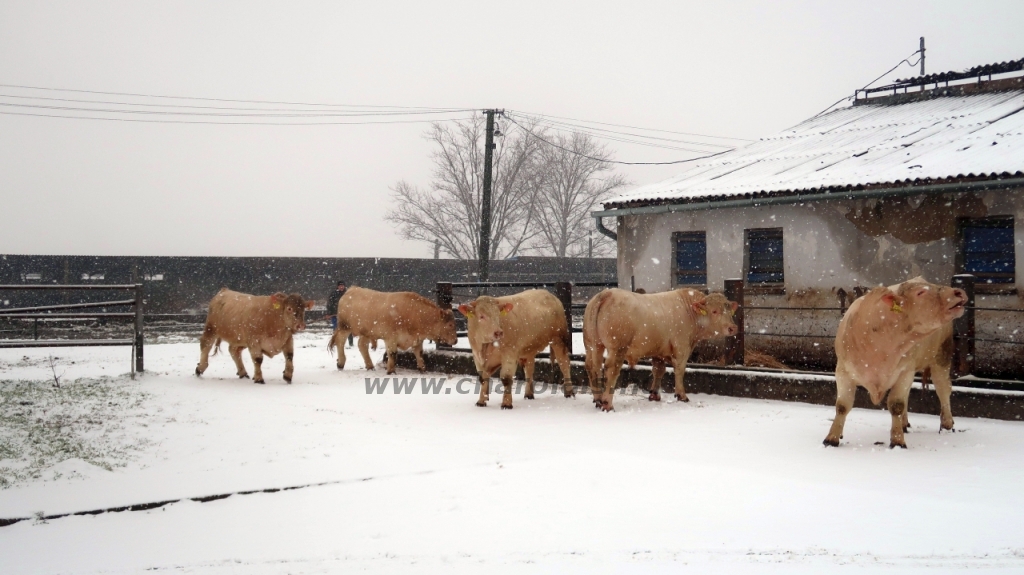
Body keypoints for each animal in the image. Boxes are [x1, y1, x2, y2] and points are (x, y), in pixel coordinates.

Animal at [327, 284, 456, 372]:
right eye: (450, 325)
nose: (455, 340)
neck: (413, 313)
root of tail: (352, 289)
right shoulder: (391, 338)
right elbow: (392, 353)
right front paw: (391, 371)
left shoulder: (417, 339)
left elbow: (419, 353)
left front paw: (422, 369)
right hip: (344, 327)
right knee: (340, 342)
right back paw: (341, 363)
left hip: (367, 332)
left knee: (362, 345)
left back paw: (370, 366)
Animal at [585, 288, 737, 409]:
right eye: (715, 311)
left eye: (729, 311)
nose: (732, 328)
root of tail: (607, 293)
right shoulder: (682, 347)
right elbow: (680, 370)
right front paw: (682, 395)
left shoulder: (658, 351)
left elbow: (658, 370)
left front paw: (654, 395)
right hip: (618, 347)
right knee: (611, 369)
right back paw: (607, 403)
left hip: (593, 345)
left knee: (593, 367)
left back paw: (598, 399)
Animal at [823, 276, 966, 446]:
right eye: (920, 292)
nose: (958, 292)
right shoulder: (843, 371)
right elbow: (842, 406)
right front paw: (832, 438)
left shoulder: (905, 371)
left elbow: (896, 405)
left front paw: (897, 441)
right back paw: (905, 423)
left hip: (941, 356)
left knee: (943, 388)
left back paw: (947, 424)